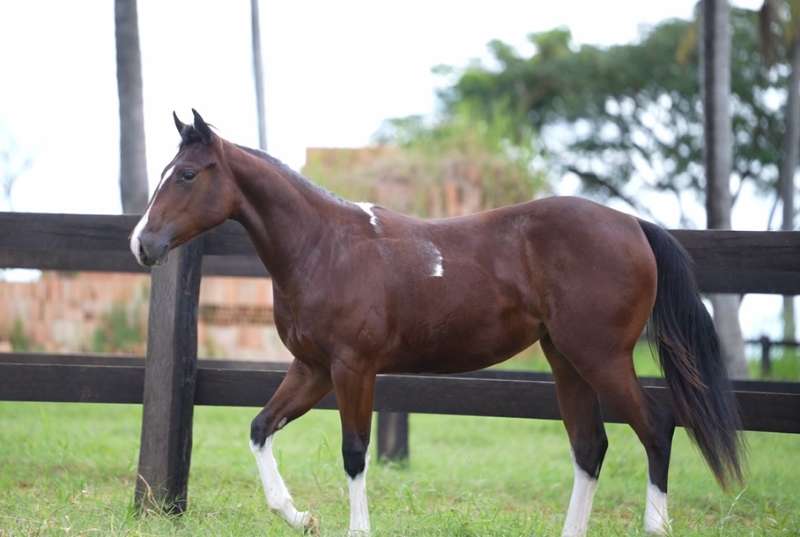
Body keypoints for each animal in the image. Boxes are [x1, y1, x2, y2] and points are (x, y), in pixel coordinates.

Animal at [130, 110, 743, 536]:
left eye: (187, 174)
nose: (142, 244)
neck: (325, 247)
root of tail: (634, 225)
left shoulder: (353, 368)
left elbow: (355, 450)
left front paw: (355, 528)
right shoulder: (312, 369)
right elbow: (260, 428)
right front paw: (299, 516)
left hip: (603, 358)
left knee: (656, 428)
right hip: (566, 360)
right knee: (590, 446)